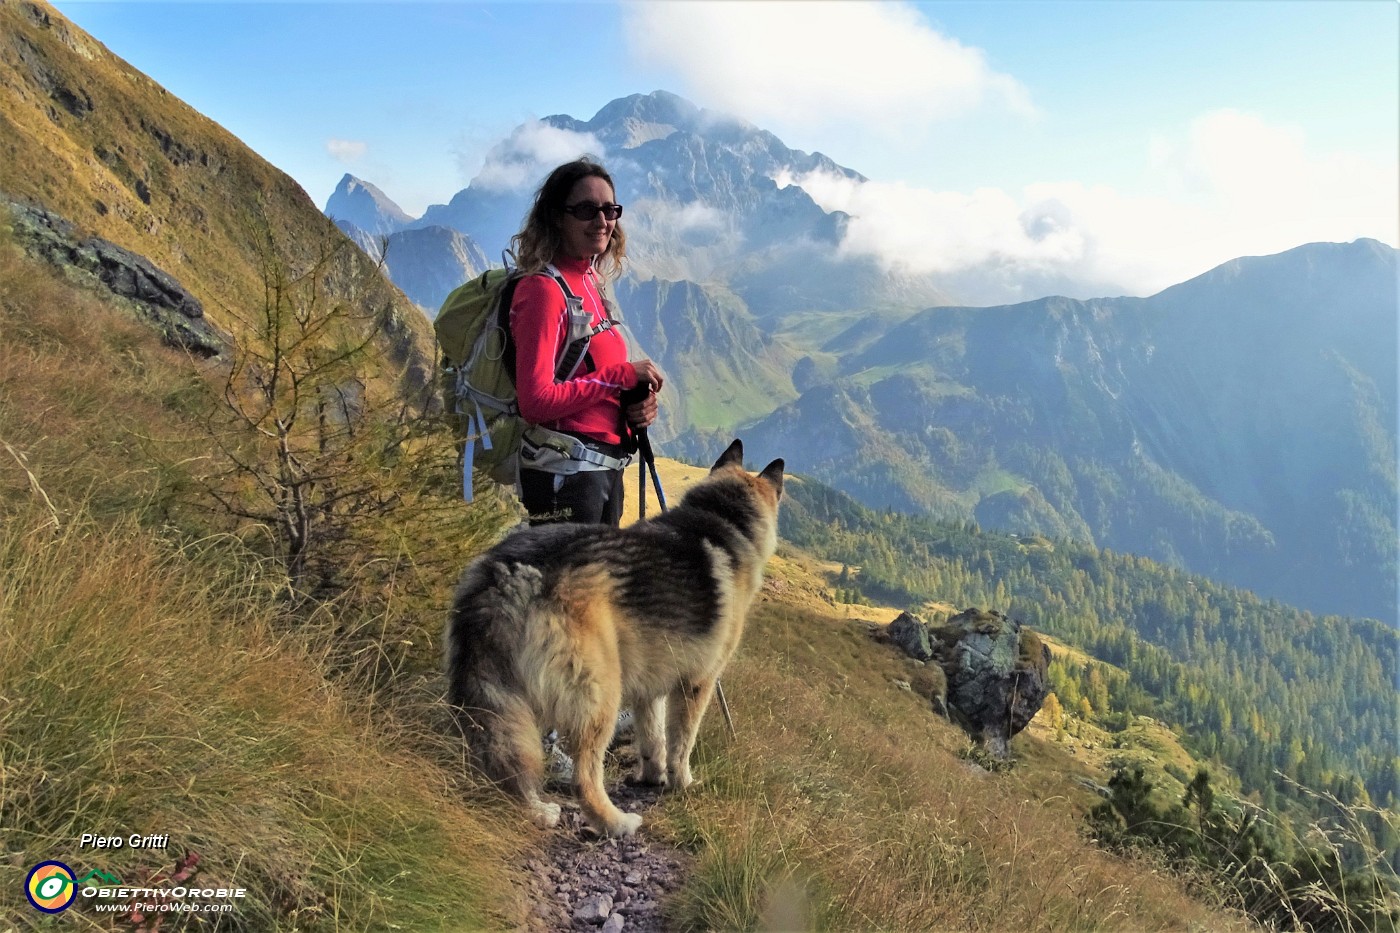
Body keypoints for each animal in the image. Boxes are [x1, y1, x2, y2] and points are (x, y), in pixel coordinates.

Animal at [442, 439, 784, 829]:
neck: (724, 521)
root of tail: (510, 570)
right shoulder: (697, 684)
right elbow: (681, 743)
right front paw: (683, 783)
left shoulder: (651, 688)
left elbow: (653, 740)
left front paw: (653, 777)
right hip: (600, 693)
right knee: (584, 776)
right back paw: (616, 821)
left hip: (499, 693)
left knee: (508, 759)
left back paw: (537, 809)